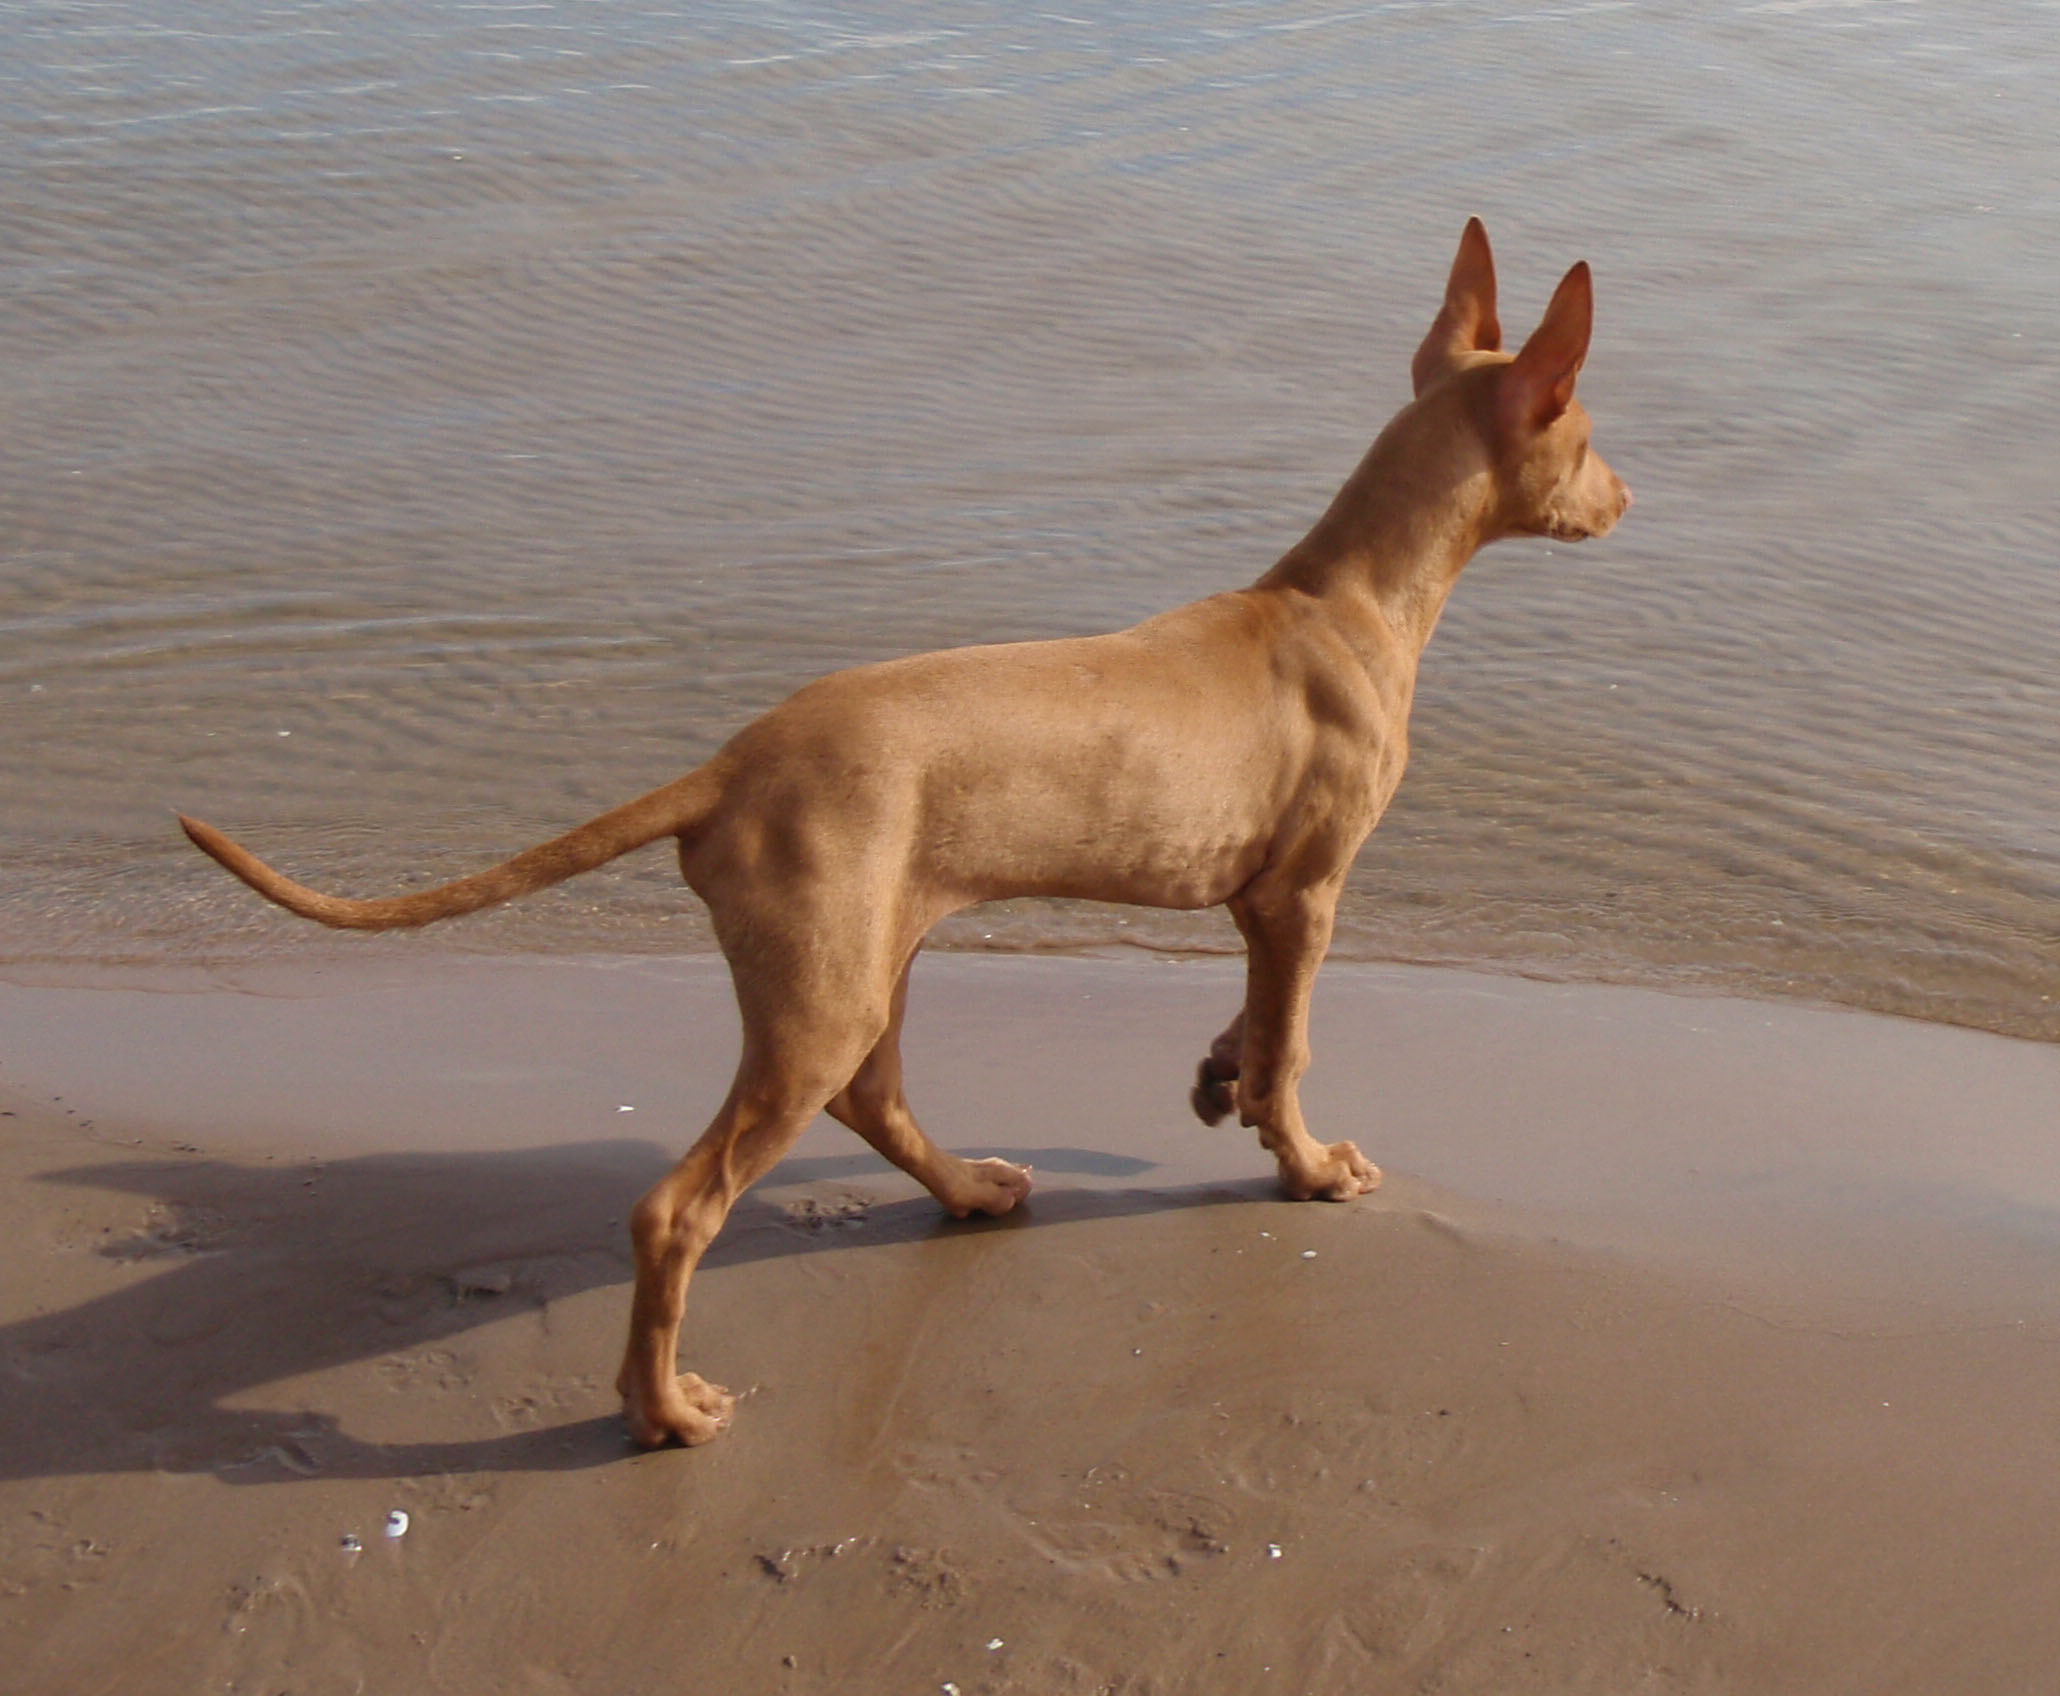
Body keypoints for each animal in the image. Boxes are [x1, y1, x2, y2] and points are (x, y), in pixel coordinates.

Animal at [181, 218, 1623, 1450]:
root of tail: (729, 767)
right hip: (824, 990)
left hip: (872, 951)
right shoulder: (1307, 886)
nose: (1627, 500)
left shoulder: (1260, 900)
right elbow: (1298, 1041)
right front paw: (1309, 1164)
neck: (1347, 598)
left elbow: (1261, 1026)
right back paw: (664, 1409)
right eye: (1590, 429)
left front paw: (1222, 1079)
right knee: (676, 1208)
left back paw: (970, 1193)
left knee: (871, 1097)